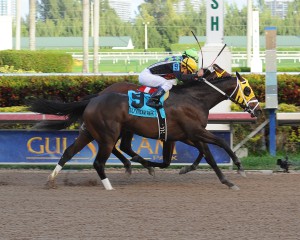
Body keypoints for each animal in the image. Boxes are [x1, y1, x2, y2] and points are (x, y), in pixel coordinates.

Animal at [29, 71, 262, 189]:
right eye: (247, 90)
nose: (257, 109)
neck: (194, 99)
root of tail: (94, 99)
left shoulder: (185, 134)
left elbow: (205, 155)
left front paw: (224, 179)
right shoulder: (194, 131)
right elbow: (219, 145)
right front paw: (238, 168)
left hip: (91, 132)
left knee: (69, 152)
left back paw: (51, 180)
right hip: (109, 134)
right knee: (100, 160)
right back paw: (110, 184)